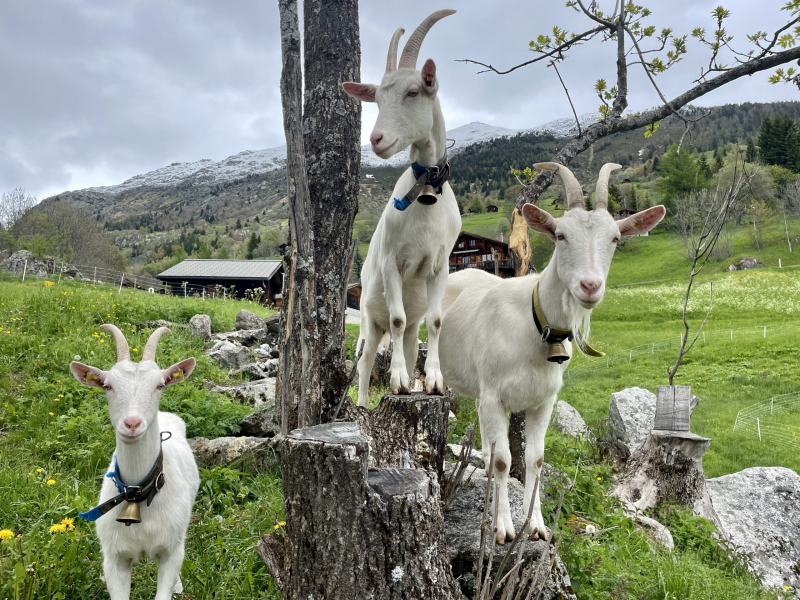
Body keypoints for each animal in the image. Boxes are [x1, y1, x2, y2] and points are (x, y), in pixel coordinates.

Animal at [70, 325, 199, 600]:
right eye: (107, 385)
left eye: (159, 384)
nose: (132, 423)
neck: (139, 492)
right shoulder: (114, 558)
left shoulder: (170, 551)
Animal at [342, 10, 461, 406]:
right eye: (377, 99)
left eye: (414, 91)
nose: (377, 139)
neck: (425, 193)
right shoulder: (392, 262)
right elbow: (395, 319)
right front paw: (396, 382)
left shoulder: (439, 267)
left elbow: (436, 320)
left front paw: (433, 382)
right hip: (368, 320)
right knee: (365, 362)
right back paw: (364, 403)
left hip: (411, 325)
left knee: (409, 342)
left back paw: (413, 379)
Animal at [439, 163, 666, 544]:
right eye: (560, 235)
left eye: (615, 239)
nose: (590, 286)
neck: (537, 325)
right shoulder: (495, 397)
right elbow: (503, 461)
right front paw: (503, 528)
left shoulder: (542, 401)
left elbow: (534, 459)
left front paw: (536, 526)